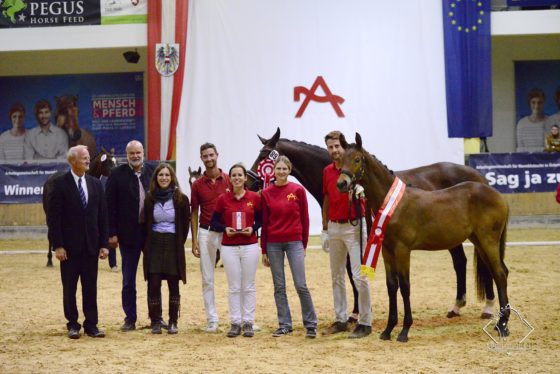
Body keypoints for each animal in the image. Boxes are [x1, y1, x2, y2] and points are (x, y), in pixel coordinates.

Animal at [249, 129, 494, 318]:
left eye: (264, 157)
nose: (250, 182)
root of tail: (479, 177)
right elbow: (350, 273)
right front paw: (356, 311)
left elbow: (356, 273)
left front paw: (359, 313)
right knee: (460, 262)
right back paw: (456, 306)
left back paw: (489, 308)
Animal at [334, 132, 510, 342]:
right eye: (341, 159)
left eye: (357, 159)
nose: (341, 184)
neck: (393, 203)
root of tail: (496, 194)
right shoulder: (387, 251)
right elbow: (391, 286)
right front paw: (388, 330)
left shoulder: (402, 250)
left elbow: (405, 286)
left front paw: (404, 330)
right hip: (479, 242)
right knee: (497, 272)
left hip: (488, 241)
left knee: (500, 274)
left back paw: (503, 325)